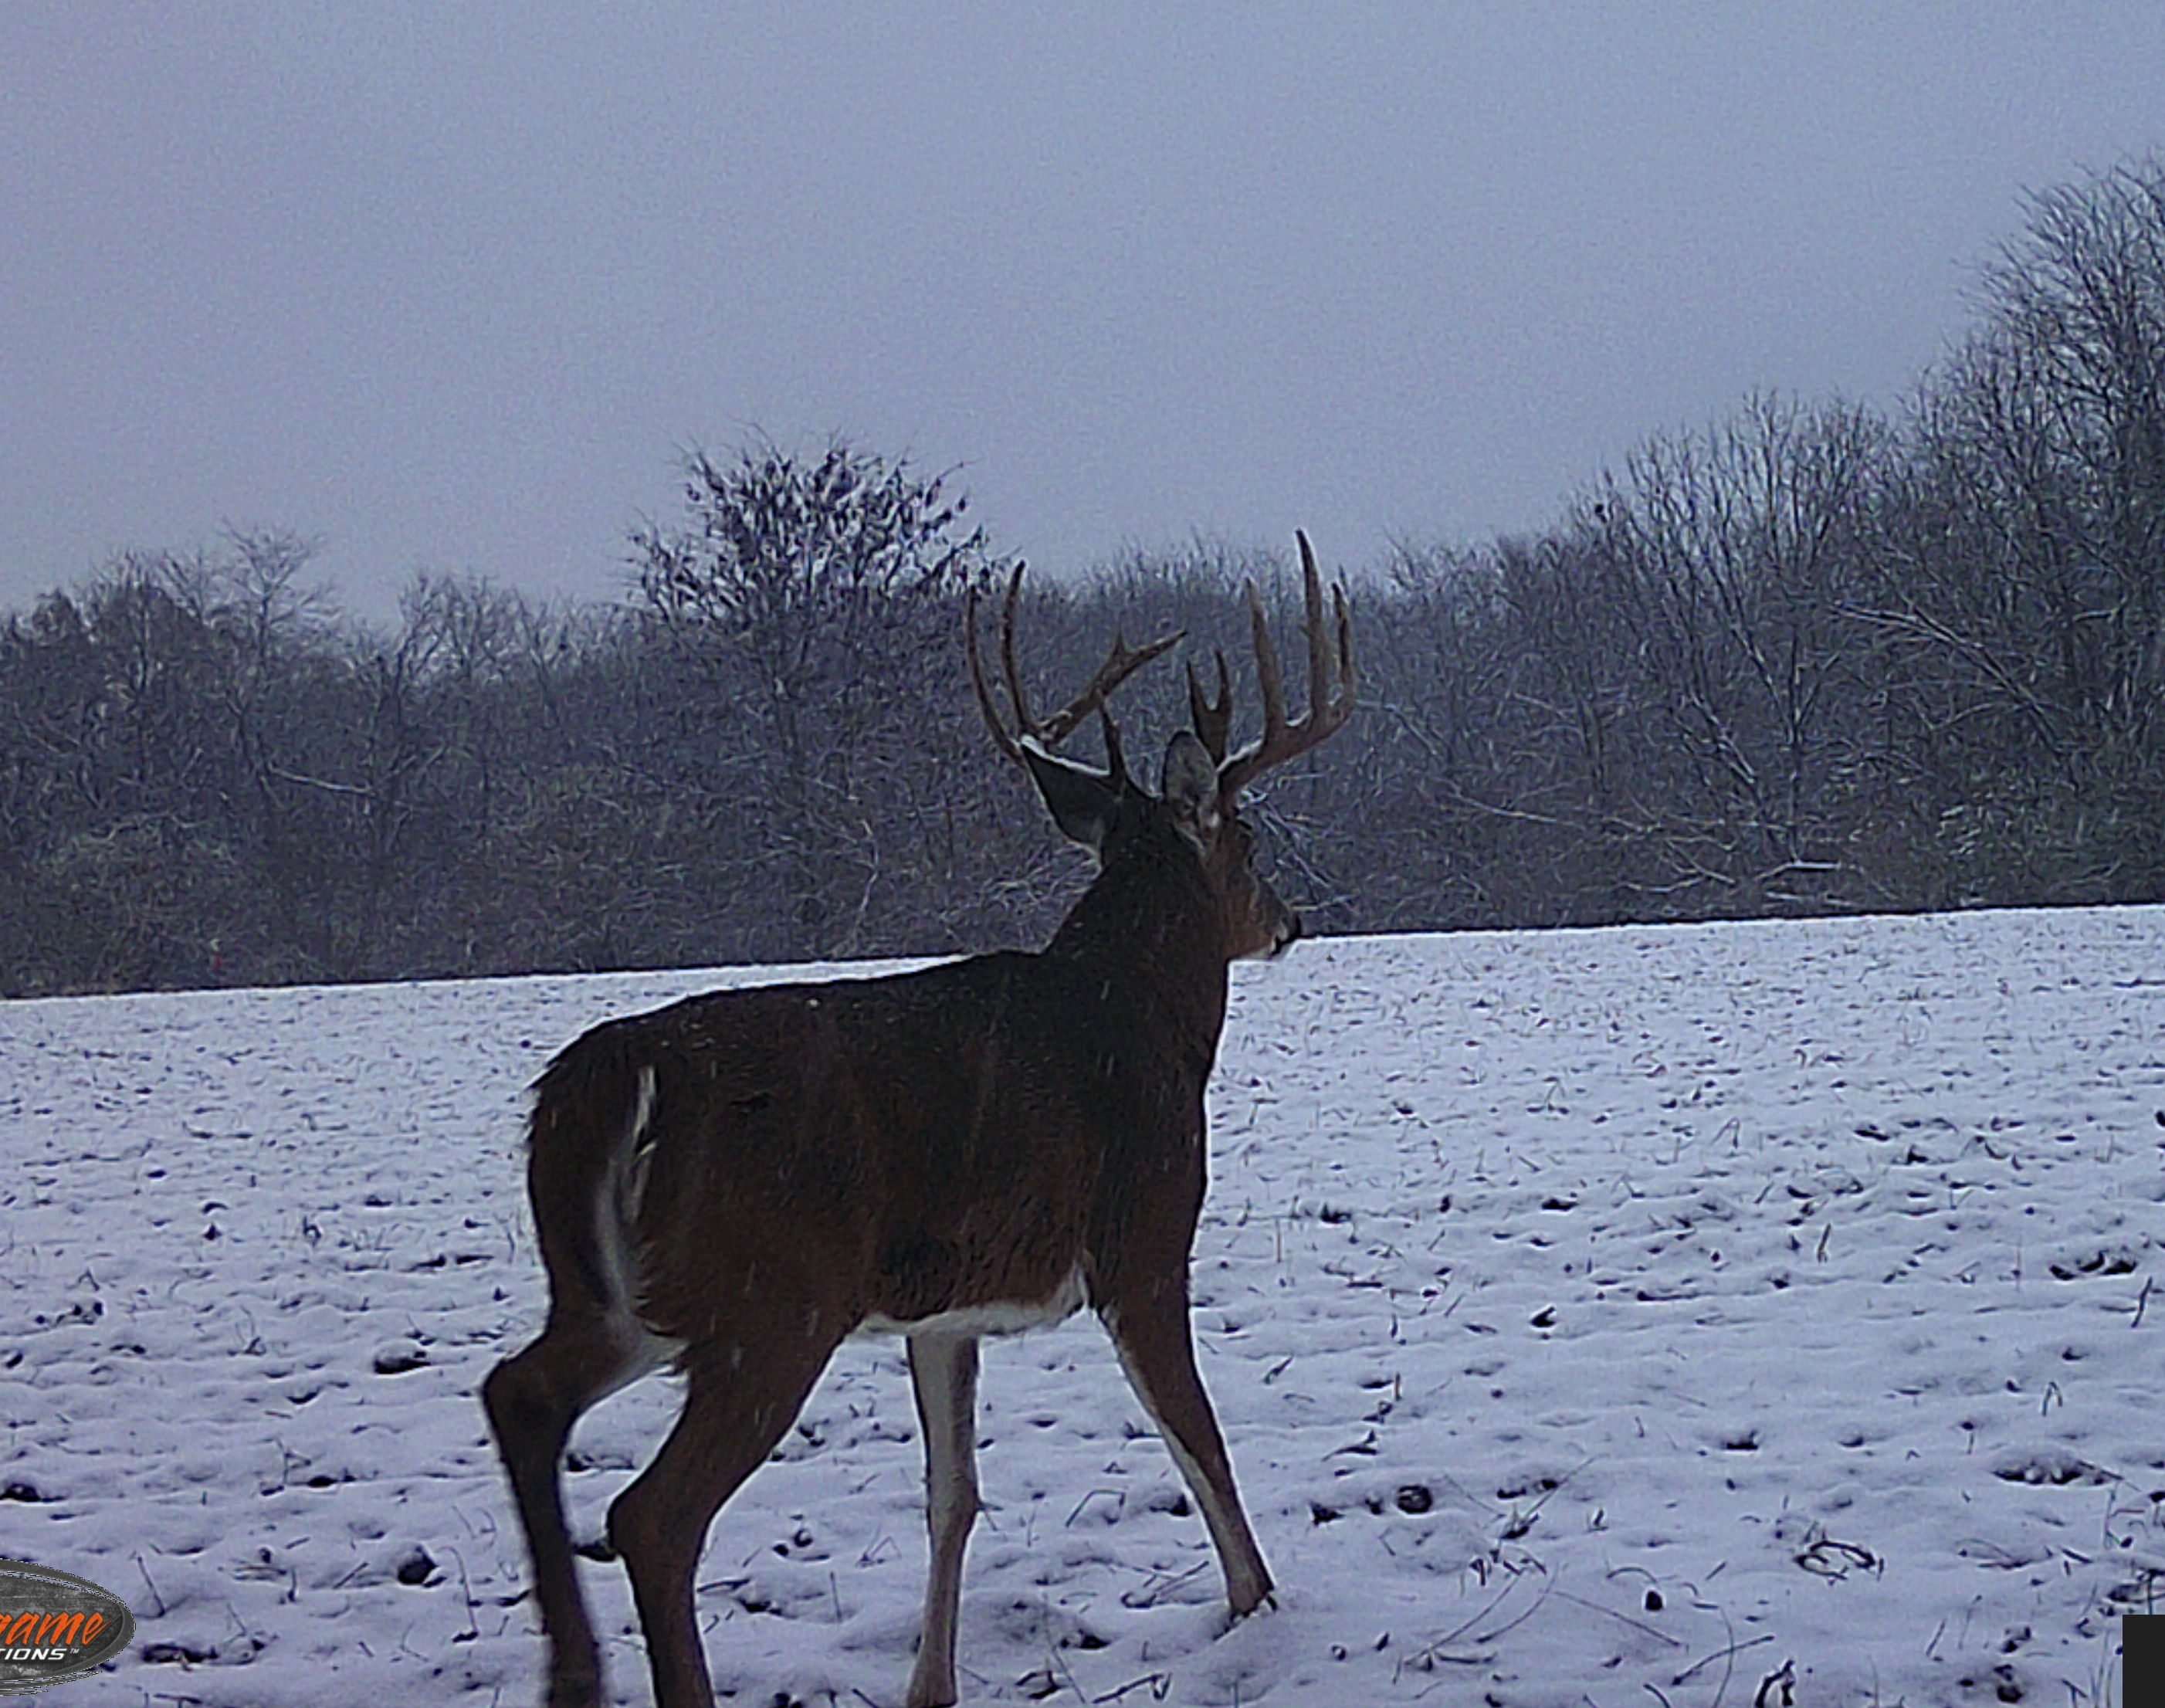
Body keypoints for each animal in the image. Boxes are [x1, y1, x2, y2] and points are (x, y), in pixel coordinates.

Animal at [482, 533, 1355, 1708]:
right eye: (1250, 840)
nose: (1290, 921)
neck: (1149, 1020)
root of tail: (612, 1071)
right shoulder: (1141, 1237)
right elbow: (1198, 1440)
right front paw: (1260, 1612)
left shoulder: (941, 1310)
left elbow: (953, 1494)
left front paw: (929, 1682)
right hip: (775, 1296)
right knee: (652, 1515)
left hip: (623, 1296)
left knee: (519, 1394)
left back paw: (572, 1673)